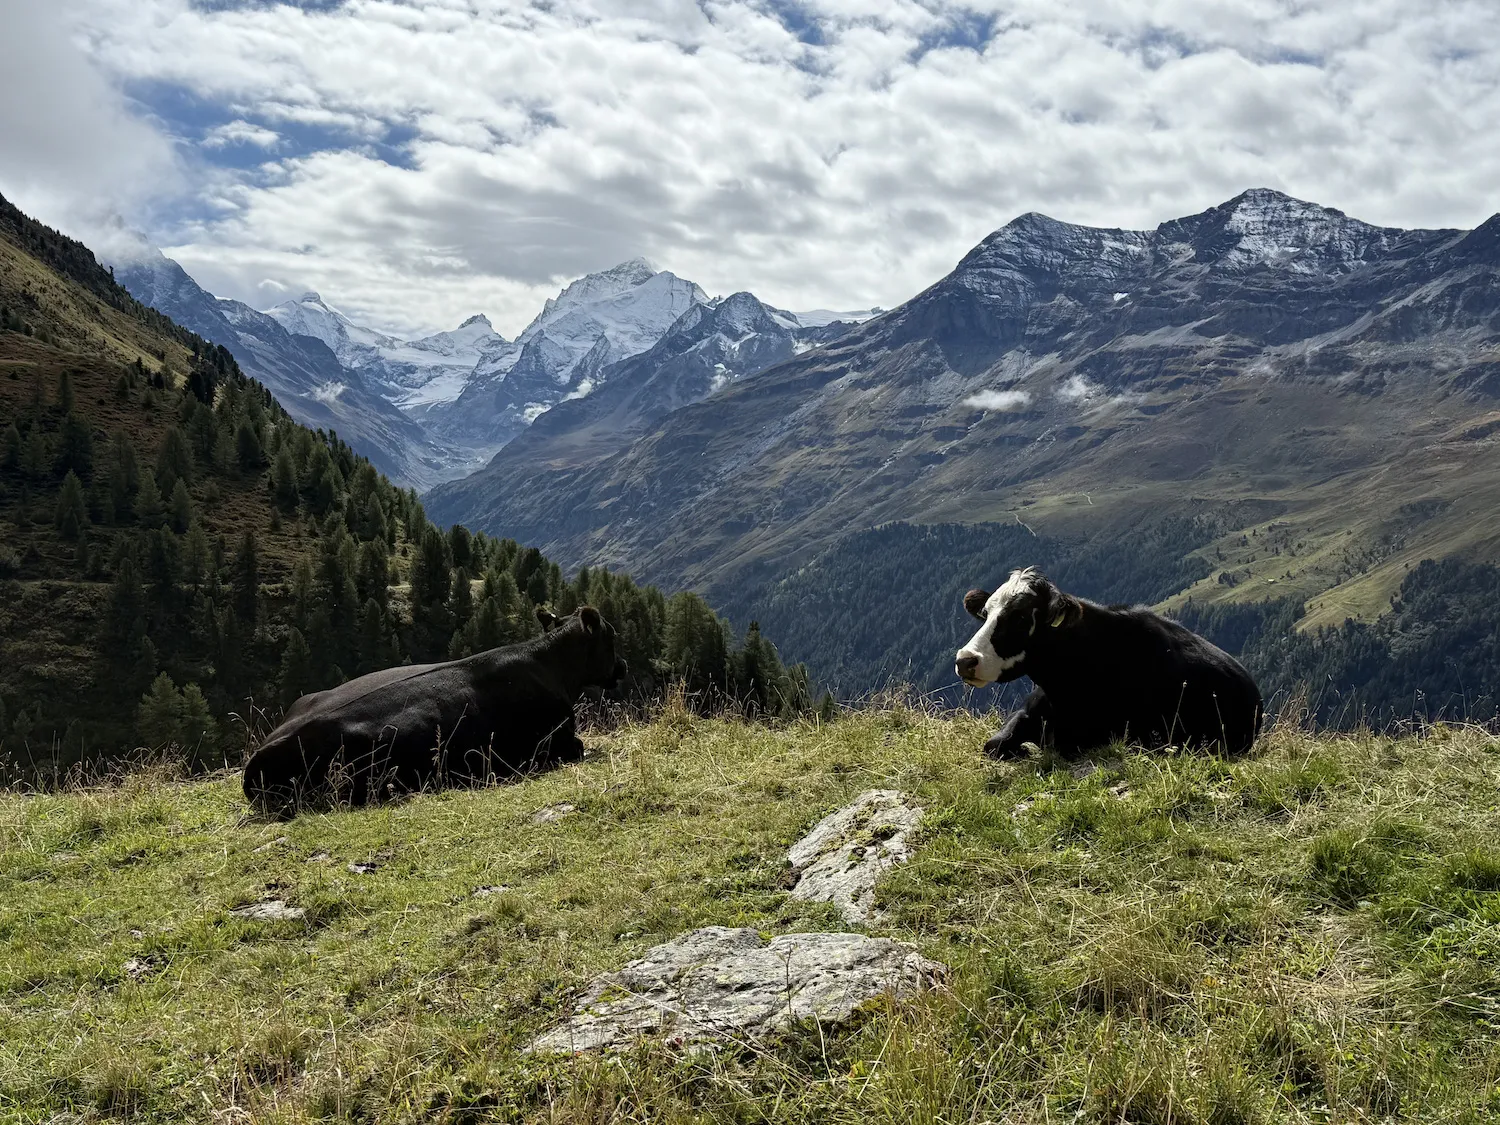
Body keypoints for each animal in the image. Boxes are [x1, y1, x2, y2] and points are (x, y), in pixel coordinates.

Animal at [243, 606, 626, 816]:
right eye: (611, 636)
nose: (622, 666)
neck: (552, 665)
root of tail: (258, 756)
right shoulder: (556, 742)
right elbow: (579, 747)